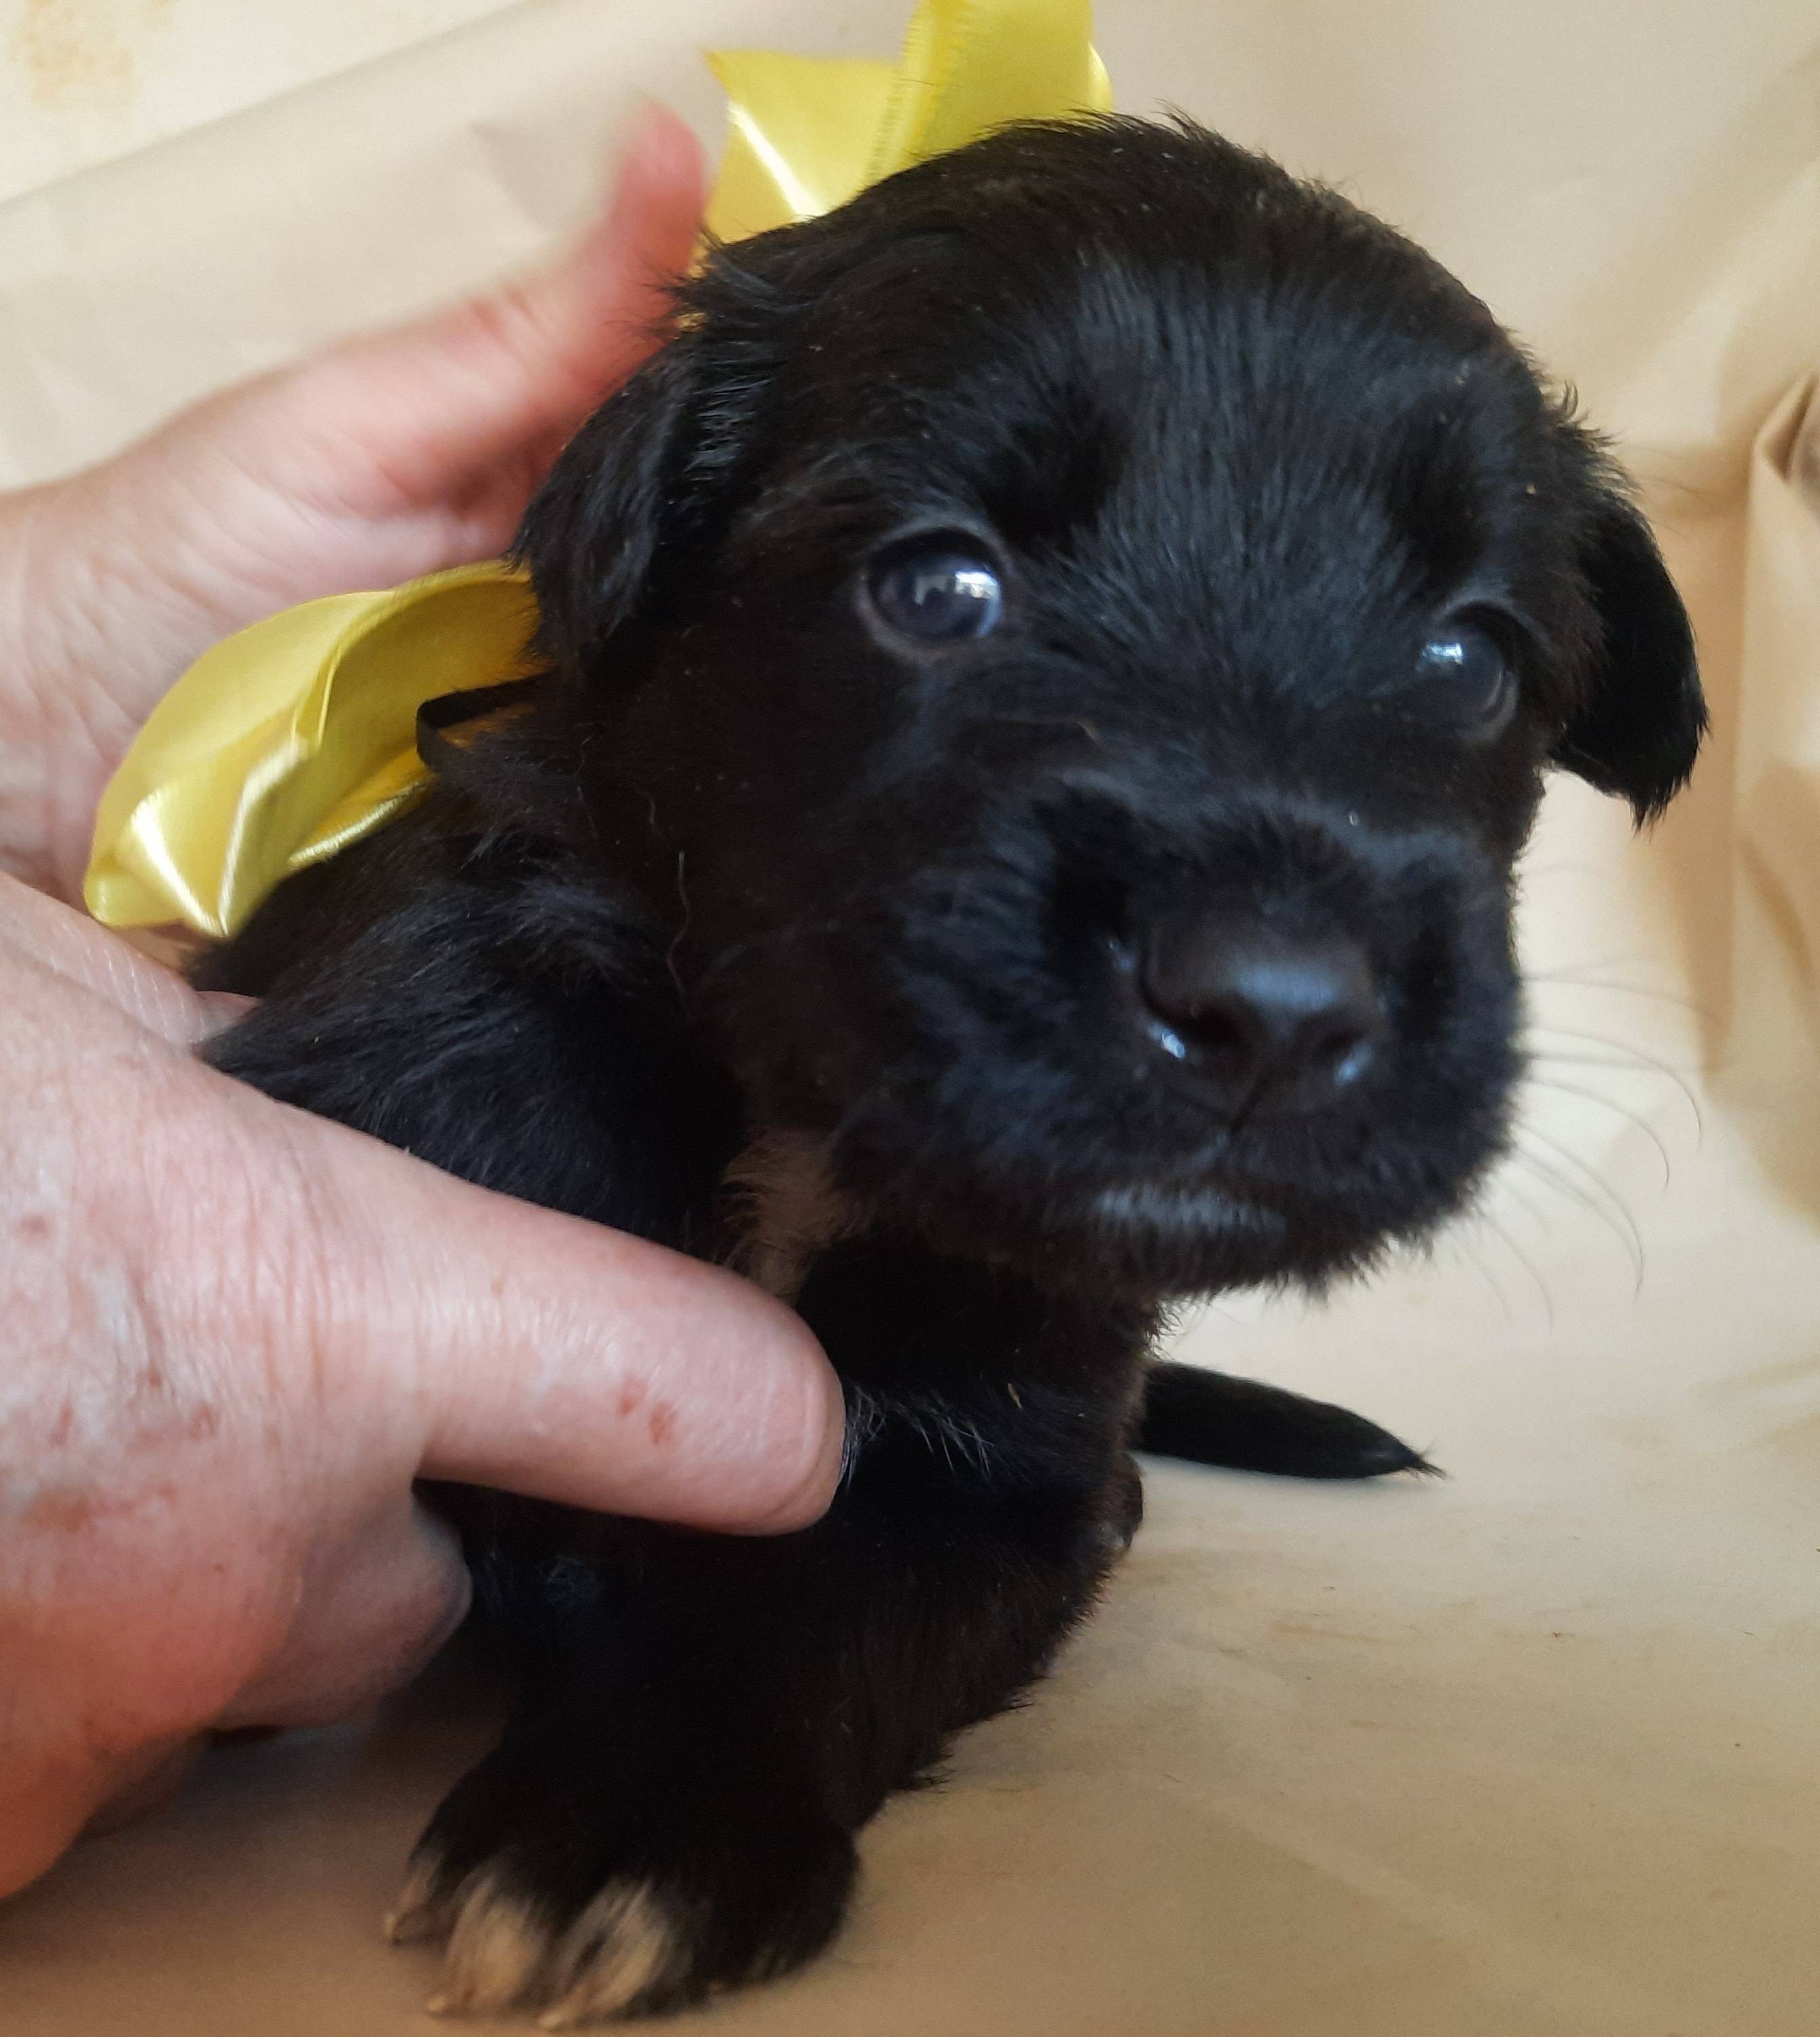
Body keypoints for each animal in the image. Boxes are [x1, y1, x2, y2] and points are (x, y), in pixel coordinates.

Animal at [196, 114, 1704, 2022]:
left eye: (1469, 659)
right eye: (936, 586)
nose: (1271, 1006)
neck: (800, 1135)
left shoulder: (1005, 1464)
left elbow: (821, 1599)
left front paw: (630, 1821)